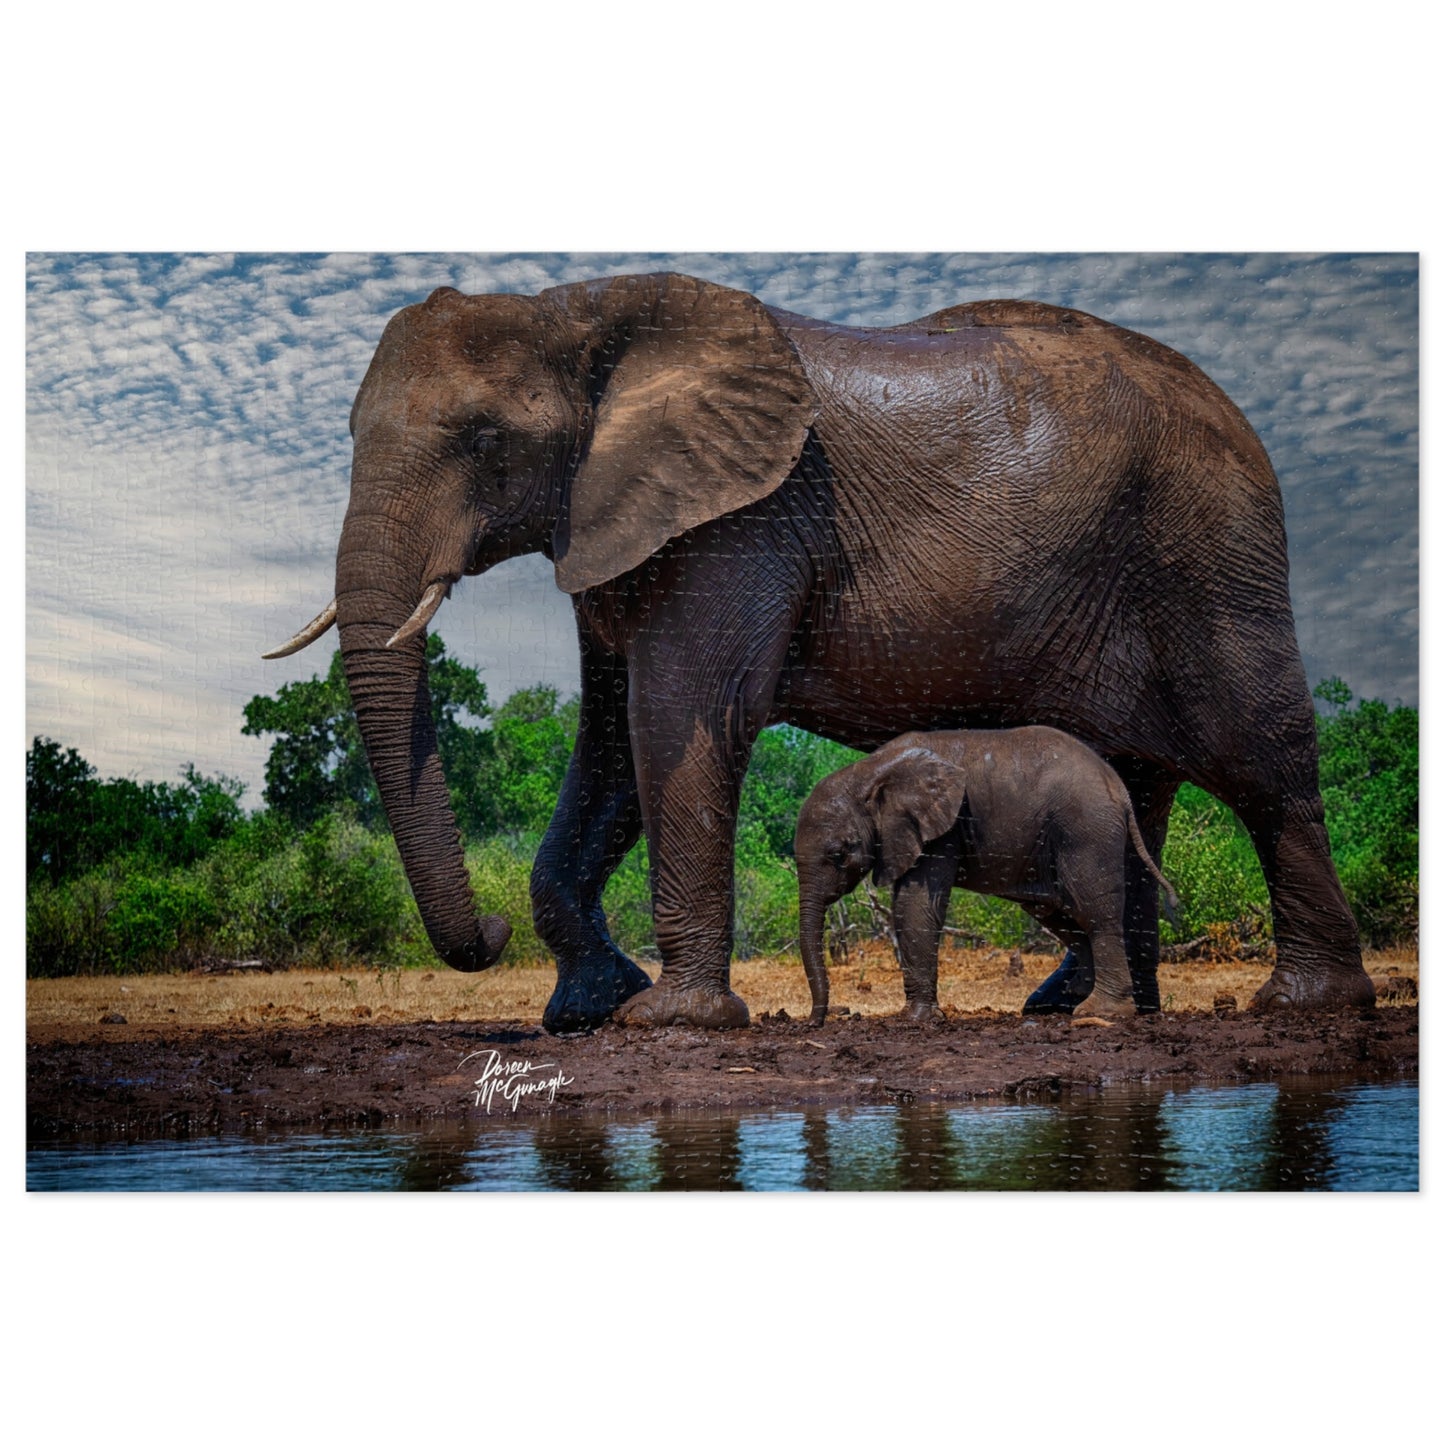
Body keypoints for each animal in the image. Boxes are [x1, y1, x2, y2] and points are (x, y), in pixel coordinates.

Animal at [793, 727, 1181, 1025]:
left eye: (838, 855)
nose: (815, 1022)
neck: (870, 771)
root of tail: (1120, 790)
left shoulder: (943, 828)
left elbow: (914, 904)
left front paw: (917, 1020)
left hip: (1086, 828)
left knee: (1094, 910)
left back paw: (1099, 1011)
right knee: (1057, 909)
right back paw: (1068, 999)